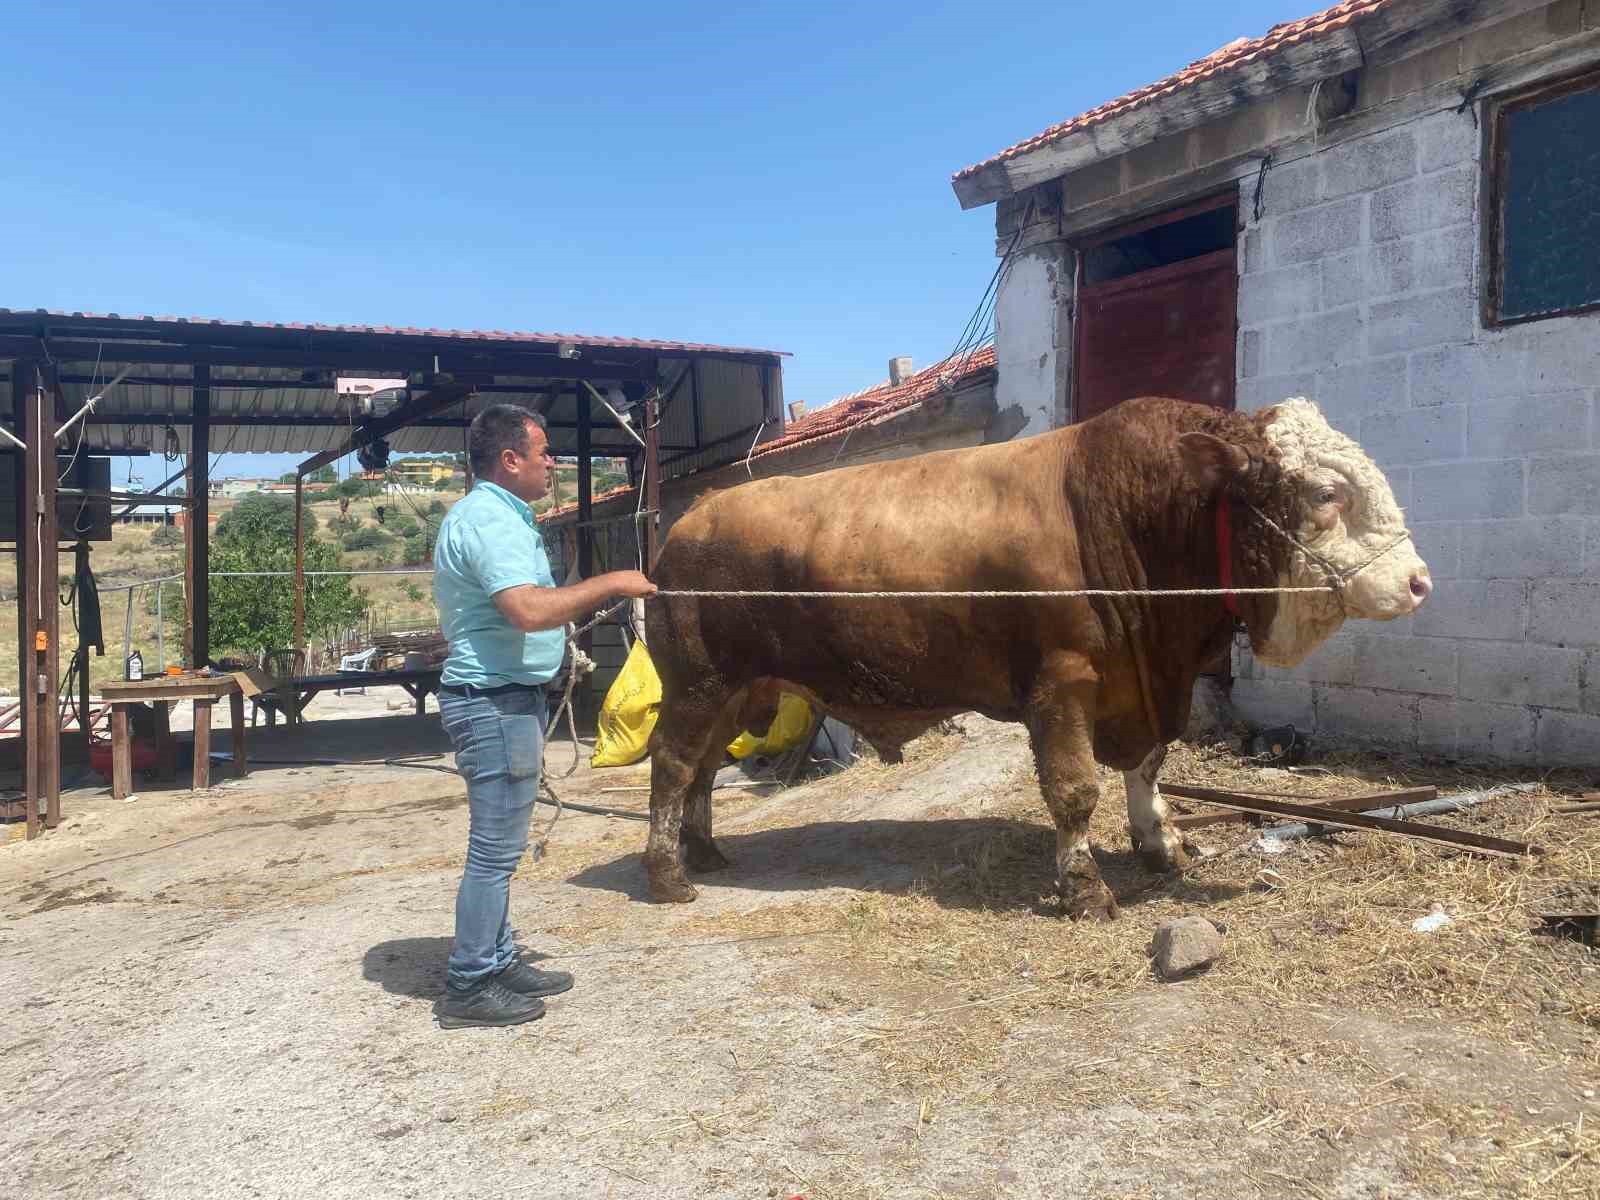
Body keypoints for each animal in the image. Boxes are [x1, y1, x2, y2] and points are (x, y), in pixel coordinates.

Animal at [643, 396, 1433, 921]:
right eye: (1327, 492)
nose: (1419, 581)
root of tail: (688, 521)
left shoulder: (1149, 690)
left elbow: (1149, 769)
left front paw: (1162, 846)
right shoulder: (1063, 685)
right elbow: (1074, 790)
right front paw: (1085, 889)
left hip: (740, 693)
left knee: (704, 771)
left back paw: (703, 852)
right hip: (697, 685)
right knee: (674, 766)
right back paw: (669, 876)